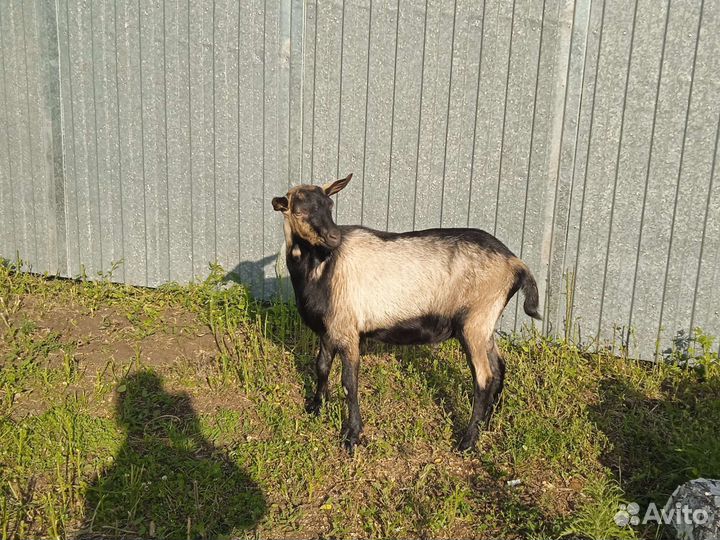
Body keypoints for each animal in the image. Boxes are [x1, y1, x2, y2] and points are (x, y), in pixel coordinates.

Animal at [272, 174, 541, 453]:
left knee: (484, 378)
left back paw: (467, 441)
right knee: (499, 367)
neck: (323, 266)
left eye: (329, 205)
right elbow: (322, 366)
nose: (334, 237)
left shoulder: (348, 330)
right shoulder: (328, 329)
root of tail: (515, 263)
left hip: (474, 322)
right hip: (486, 323)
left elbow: (349, 382)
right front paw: (316, 407)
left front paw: (353, 435)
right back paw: (486, 424)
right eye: (300, 211)